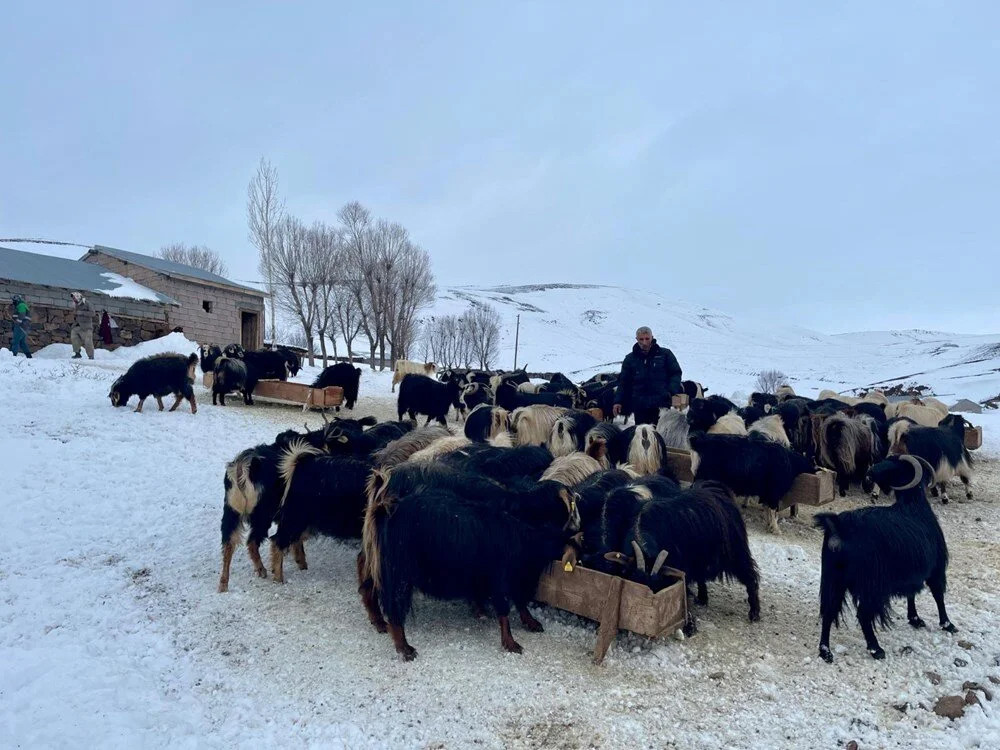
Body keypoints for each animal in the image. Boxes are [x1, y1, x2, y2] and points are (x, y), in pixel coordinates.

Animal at [812, 456, 960, 660]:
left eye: (892, 462)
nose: (869, 473)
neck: (913, 504)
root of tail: (839, 527)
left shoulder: (911, 572)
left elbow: (911, 593)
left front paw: (915, 619)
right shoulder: (935, 570)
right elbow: (938, 595)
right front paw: (948, 624)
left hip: (833, 579)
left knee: (828, 611)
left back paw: (825, 651)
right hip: (871, 584)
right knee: (863, 614)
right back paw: (876, 649)